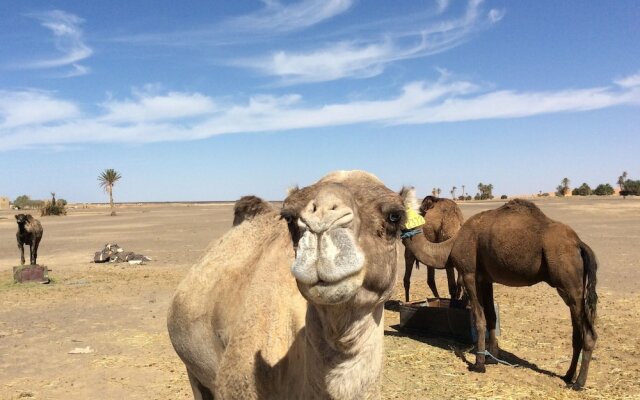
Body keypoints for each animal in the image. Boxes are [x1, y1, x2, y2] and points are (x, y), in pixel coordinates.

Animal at [444, 200, 600, 390]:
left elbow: (479, 319)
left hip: (569, 281)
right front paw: (491, 358)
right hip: (569, 289)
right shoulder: (486, 278)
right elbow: (491, 316)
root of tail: (578, 244)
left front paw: (479, 364)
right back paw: (568, 375)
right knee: (577, 333)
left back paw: (578, 383)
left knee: (589, 334)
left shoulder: (468, 273)